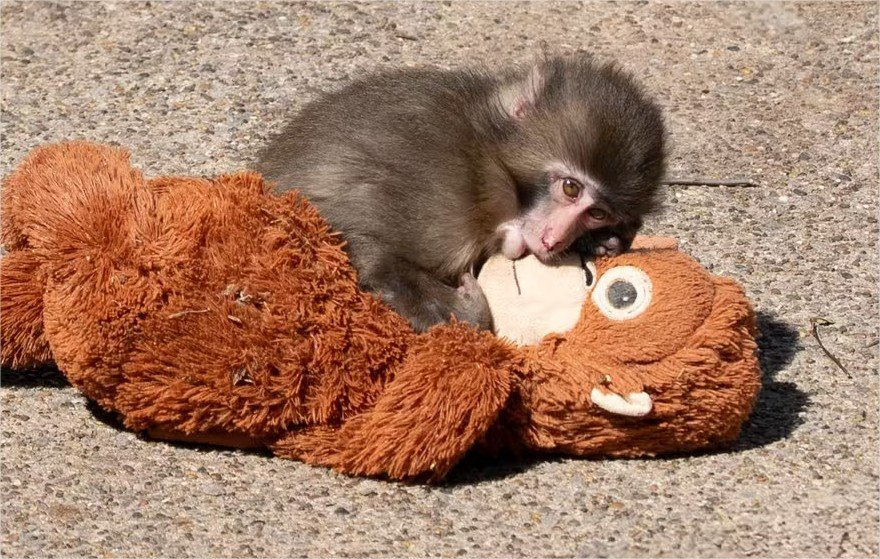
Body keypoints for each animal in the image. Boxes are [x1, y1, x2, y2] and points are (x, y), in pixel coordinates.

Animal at [253, 54, 666, 333]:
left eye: (597, 213)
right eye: (570, 188)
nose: (555, 239)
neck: (487, 156)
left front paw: (601, 242)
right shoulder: (442, 191)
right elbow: (364, 249)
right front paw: (469, 312)